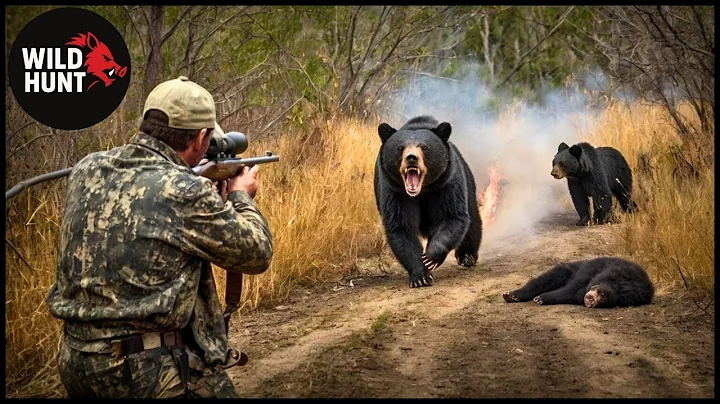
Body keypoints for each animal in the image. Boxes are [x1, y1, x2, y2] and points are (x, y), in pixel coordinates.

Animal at [374, 115, 483, 288]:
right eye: (400, 148)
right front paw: (420, 276)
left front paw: (430, 258)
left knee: (472, 218)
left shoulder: (446, 184)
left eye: (424, 147)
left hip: (466, 179)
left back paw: (467, 256)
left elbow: (452, 217)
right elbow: (401, 227)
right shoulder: (395, 192)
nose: (411, 158)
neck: (422, 190)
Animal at [502, 257, 655, 308]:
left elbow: (572, 295)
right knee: (554, 275)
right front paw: (542, 297)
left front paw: (543, 298)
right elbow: (572, 288)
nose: (592, 300)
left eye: (602, 299)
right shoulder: (591, 271)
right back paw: (514, 295)